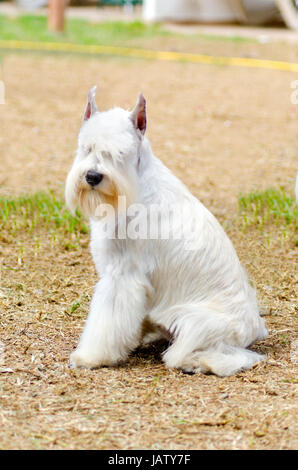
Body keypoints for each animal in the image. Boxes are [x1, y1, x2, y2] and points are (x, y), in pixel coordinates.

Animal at [66, 86, 268, 376]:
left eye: (120, 152)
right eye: (87, 147)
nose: (93, 176)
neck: (135, 185)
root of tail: (253, 328)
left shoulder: (123, 276)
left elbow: (107, 321)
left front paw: (90, 356)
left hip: (196, 321)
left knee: (226, 355)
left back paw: (195, 362)